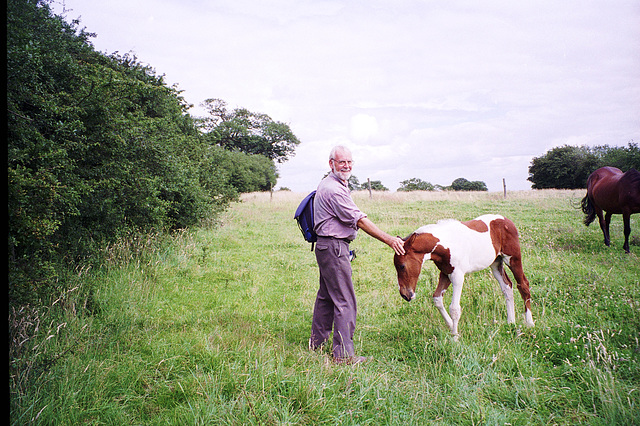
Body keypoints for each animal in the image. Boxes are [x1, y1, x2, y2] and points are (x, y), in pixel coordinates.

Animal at [392, 215, 532, 342]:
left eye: (402, 266)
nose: (405, 295)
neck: (447, 243)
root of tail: (506, 220)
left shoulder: (457, 276)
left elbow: (454, 308)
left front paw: (455, 339)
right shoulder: (445, 273)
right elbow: (437, 298)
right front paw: (450, 326)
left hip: (513, 258)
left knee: (523, 285)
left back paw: (530, 323)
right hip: (496, 263)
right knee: (507, 286)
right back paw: (510, 322)